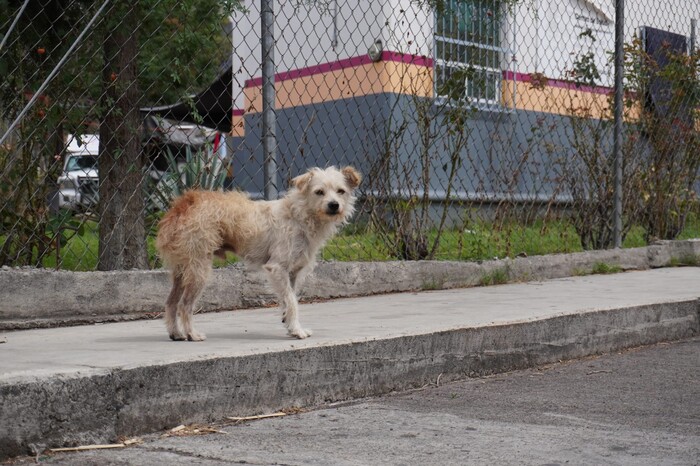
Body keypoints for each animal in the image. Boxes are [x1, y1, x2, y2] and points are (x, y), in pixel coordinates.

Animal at [157, 166, 364, 340]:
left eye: (341, 191)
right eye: (319, 192)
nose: (334, 205)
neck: (299, 215)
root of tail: (185, 203)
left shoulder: (292, 272)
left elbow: (289, 298)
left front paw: (289, 324)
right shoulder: (277, 267)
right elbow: (292, 301)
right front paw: (297, 330)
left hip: (183, 269)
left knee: (171, 302)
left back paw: (176, 333)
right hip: (199, 269)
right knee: (184, 305)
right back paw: (191, 334)